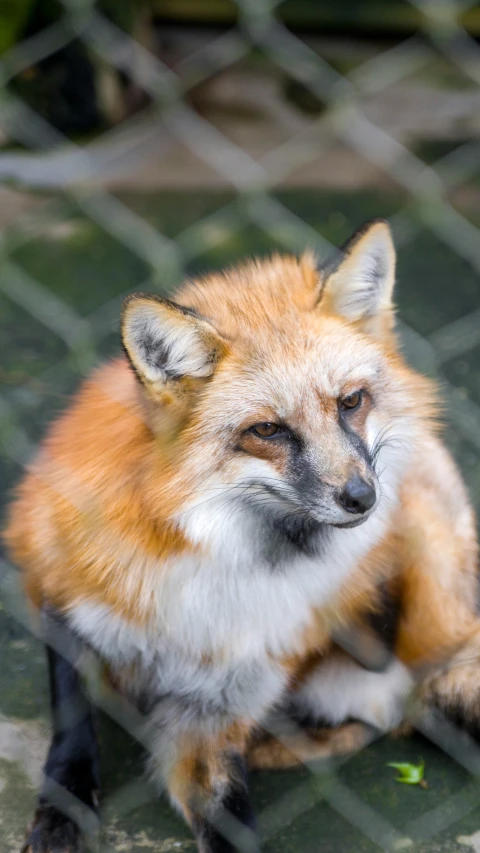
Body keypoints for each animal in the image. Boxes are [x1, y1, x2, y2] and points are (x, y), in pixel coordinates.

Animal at [4, 221, 480, 852]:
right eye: (267, 430)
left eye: (351, 401)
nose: (362, 498)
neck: (227, 565)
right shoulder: (63, 593)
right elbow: (73, 727)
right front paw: (62, 813)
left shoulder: (220, 702)